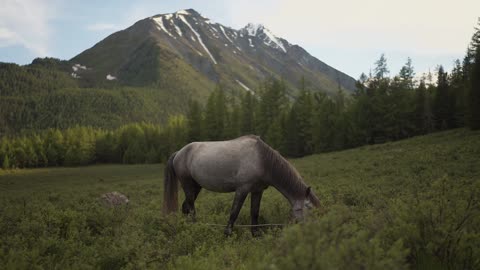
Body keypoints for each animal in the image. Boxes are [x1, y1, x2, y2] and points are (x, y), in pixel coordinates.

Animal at [163, 134, 320, 235]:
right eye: (309, 208)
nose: (315, 230)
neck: (261, 159)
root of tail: (179, 153)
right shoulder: (242, 190)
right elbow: (234, 212)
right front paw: (227, 233)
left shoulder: (257, 190)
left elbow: (255, 213)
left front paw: (255, 234)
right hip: (188, 186)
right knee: (191, 209)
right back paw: (196, 228)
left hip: (196, 187)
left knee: (186, 207)